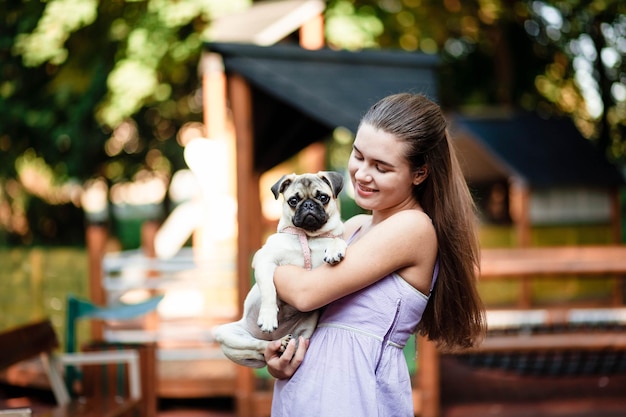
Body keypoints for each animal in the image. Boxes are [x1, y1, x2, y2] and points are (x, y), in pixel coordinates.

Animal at [214, 171, 346, 366]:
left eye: (323, 198)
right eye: (293, 200)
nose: (308, 204)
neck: (308, 237)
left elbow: (337, 239)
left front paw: (335, 249)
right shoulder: (265, 260)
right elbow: (269, 290)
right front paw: (268, 317)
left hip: (307, 328)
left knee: (294, 340)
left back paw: (290, 345)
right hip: (228, 335)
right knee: (260, 346)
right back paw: (279, 343)